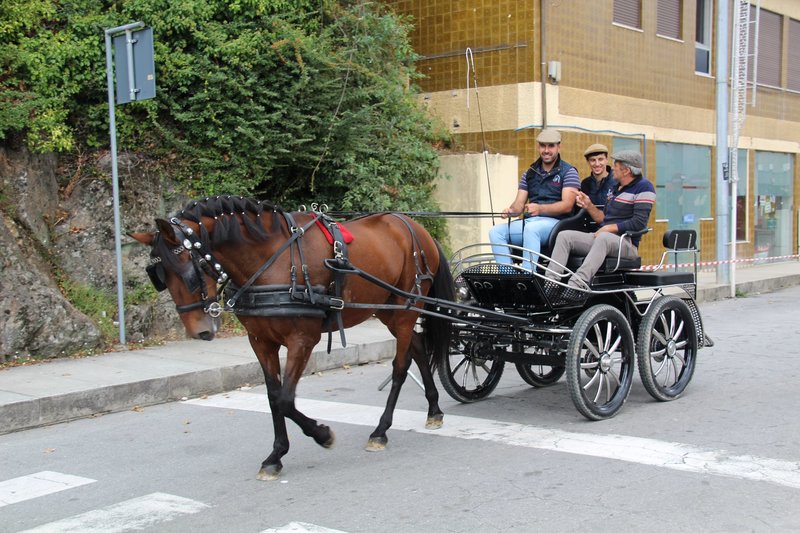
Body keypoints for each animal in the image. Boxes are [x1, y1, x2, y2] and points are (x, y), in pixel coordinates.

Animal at [132, 194, 456, 478]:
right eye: (161, 275)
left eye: (192, 268)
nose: (199, 330)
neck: (272, 259)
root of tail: (415, 227)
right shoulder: (261, 341)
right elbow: (274, 397)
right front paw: (276, 456)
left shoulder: (302, 339)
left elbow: (287, 400)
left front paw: (322, 434)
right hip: (388, 309)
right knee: (417, 350)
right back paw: (434, 409)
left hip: (406, 308)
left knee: (401, 367)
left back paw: (381, 430)